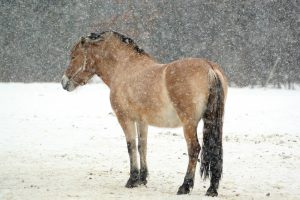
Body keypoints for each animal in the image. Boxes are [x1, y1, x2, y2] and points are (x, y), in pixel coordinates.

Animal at [62, 31, 229, 197]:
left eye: (74, 56)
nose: (64, 82)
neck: (123, 68)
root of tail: (209, 67)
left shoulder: (125, 119)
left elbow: (131, 146)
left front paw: (132, 179)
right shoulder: (142, 121)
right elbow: (142, 146)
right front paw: (142, 179)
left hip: (189, 124)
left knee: (194, 149)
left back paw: (185, 186)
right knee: (214, 150)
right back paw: (212, 189)